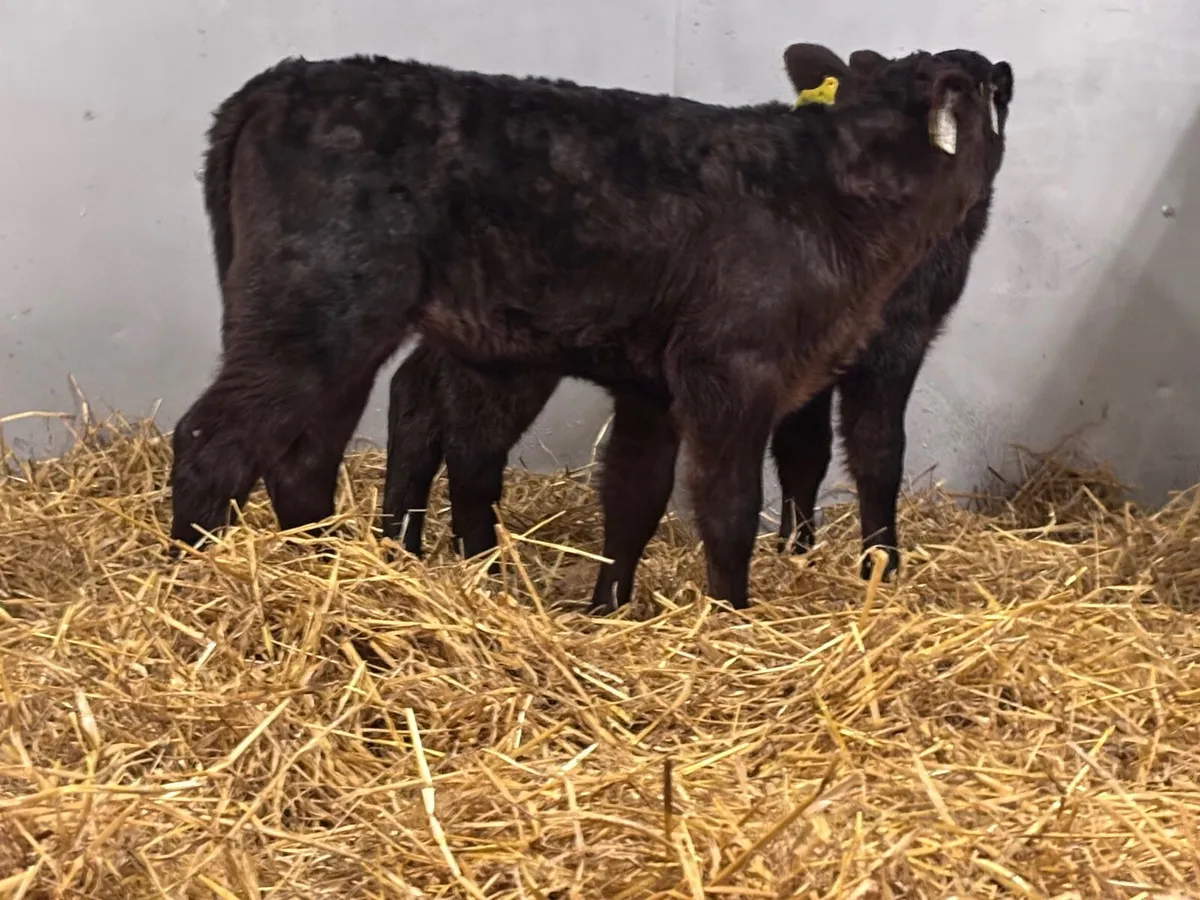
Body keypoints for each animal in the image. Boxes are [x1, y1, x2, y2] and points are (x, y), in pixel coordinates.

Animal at [169, 43, 999, 612]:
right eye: (996, 88)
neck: (840, 187)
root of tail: (284, 80)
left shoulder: (658, 385)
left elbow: (635, 495)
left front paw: (610, 609)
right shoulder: (733, 368)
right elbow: (731, 503)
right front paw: (733, 616)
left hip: (340, 332)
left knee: (305, 458)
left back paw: (330, 575)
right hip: (314, 310)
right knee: (214, 443)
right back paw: (190, 586)